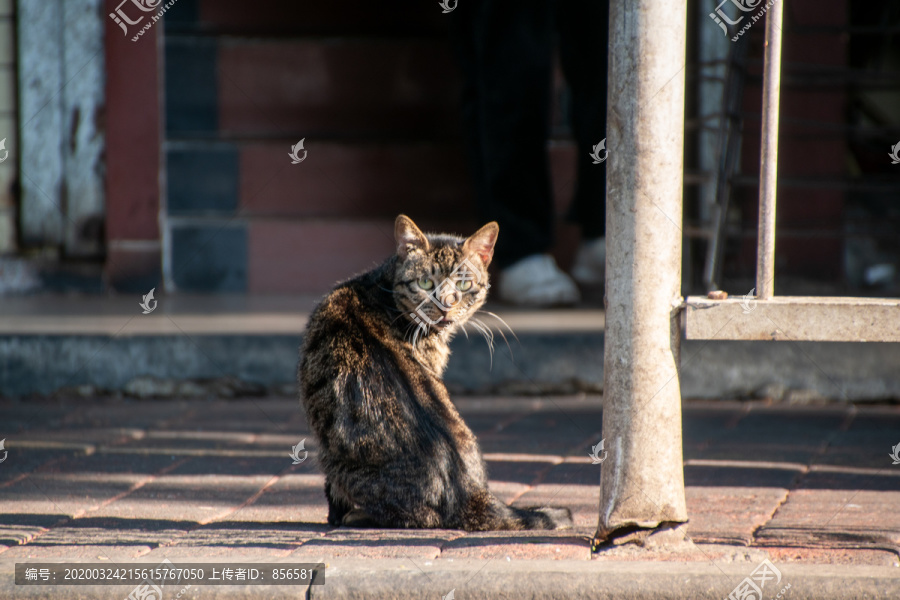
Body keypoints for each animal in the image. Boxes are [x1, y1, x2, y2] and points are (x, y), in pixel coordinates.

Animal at [298, 214, 572, 528]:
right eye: (426, 282)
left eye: (464, 285)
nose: (446, 306)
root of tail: (470, 495)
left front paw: (337, 515)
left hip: (330, 456)